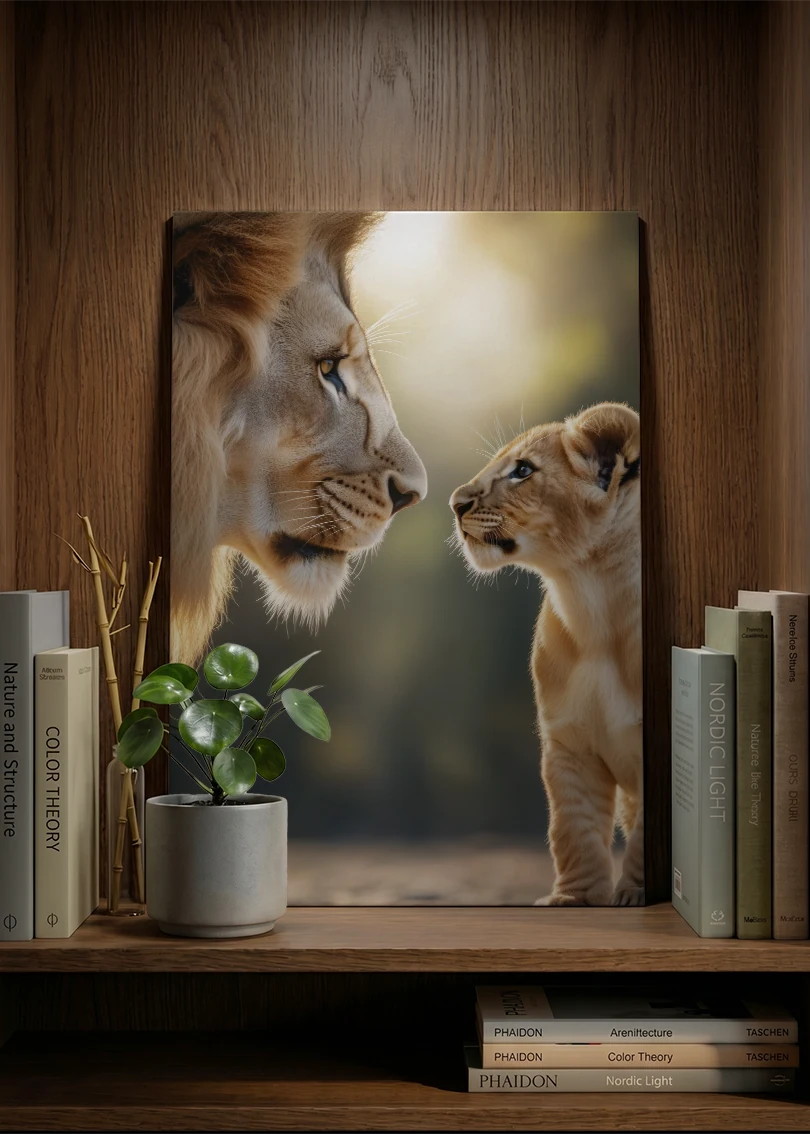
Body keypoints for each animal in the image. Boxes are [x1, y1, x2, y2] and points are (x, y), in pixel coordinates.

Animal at [450, 403, 642, 906]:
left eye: (522, 471)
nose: (455, 503)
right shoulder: (569, 742)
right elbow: (572, 829)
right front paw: (574, 900)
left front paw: (636, 893)